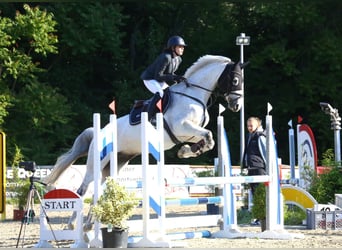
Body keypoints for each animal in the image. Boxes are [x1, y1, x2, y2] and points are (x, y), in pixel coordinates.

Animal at [42, 55, 247, 229]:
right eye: (235, 80)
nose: (237, 106)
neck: (193, 95)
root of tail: (98, 132)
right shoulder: (182, 127)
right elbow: (209, 135)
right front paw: (187, 151)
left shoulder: (189, 133)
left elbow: (208, 139)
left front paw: (186, 151)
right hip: (97, 162)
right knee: (83, 189)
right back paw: (72, 225)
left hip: (115, 165)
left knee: (97, 192)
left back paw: (89, 225)